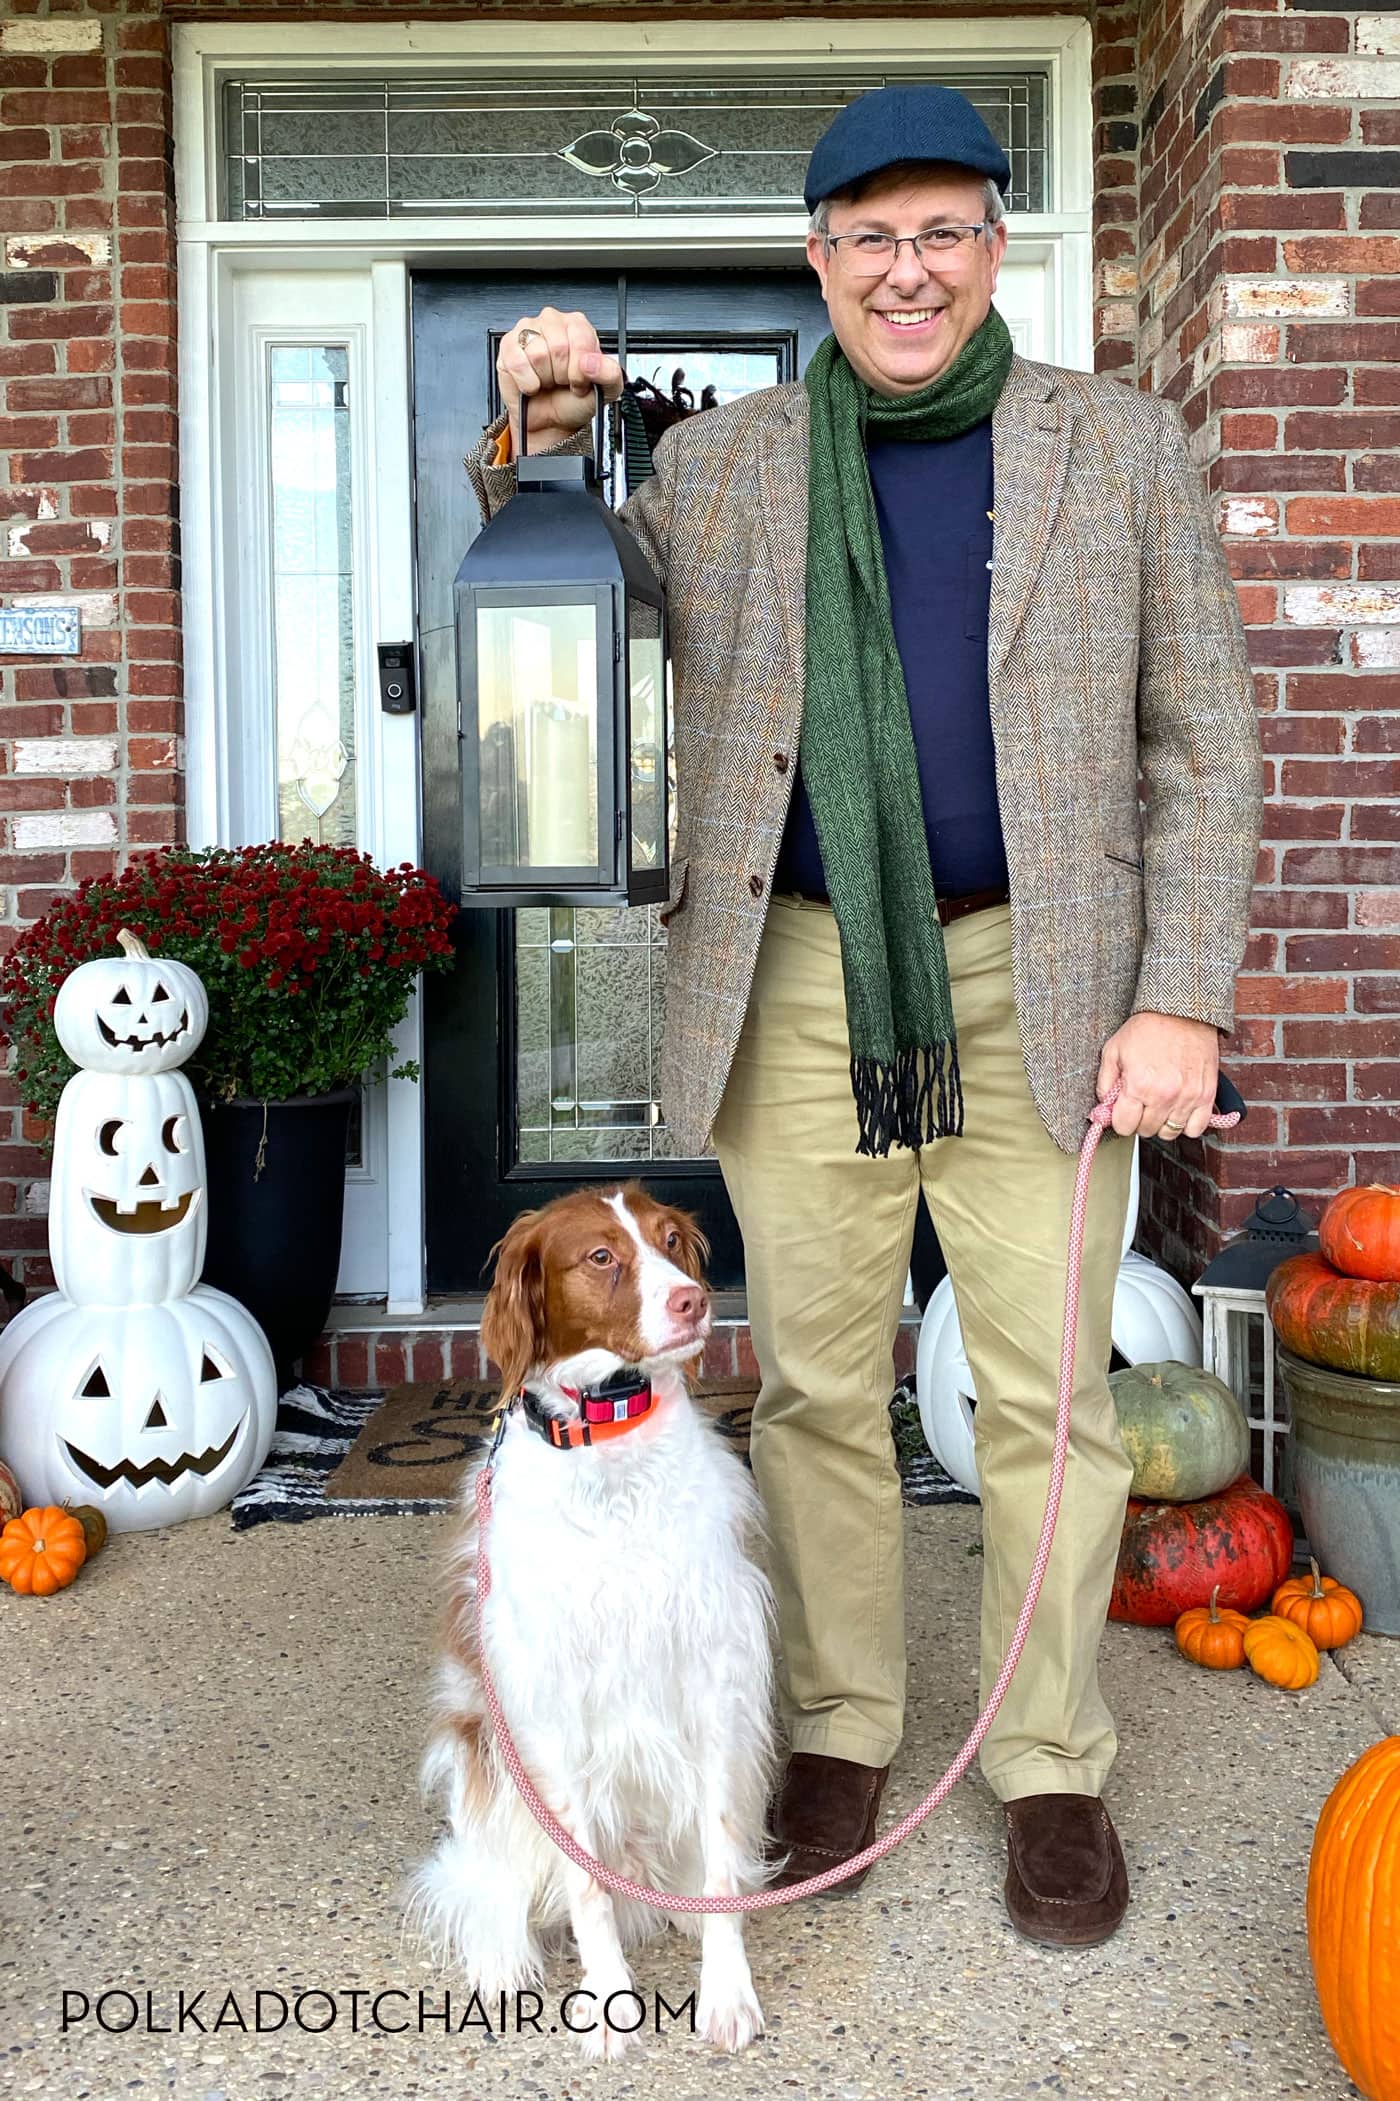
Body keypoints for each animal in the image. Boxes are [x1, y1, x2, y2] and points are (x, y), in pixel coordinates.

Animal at [403, 1193, 777, 2058]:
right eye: (601, 1256)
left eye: (669, 1240)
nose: (693, 1301)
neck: (609, 1444)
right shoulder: (548, 1704)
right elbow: (584, 1886)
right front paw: (608, 2001)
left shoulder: (714, 1677)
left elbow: (719, 1856)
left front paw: (726, 1990)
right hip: (479, 1746)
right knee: (488, 1880)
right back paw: (501, 1960)